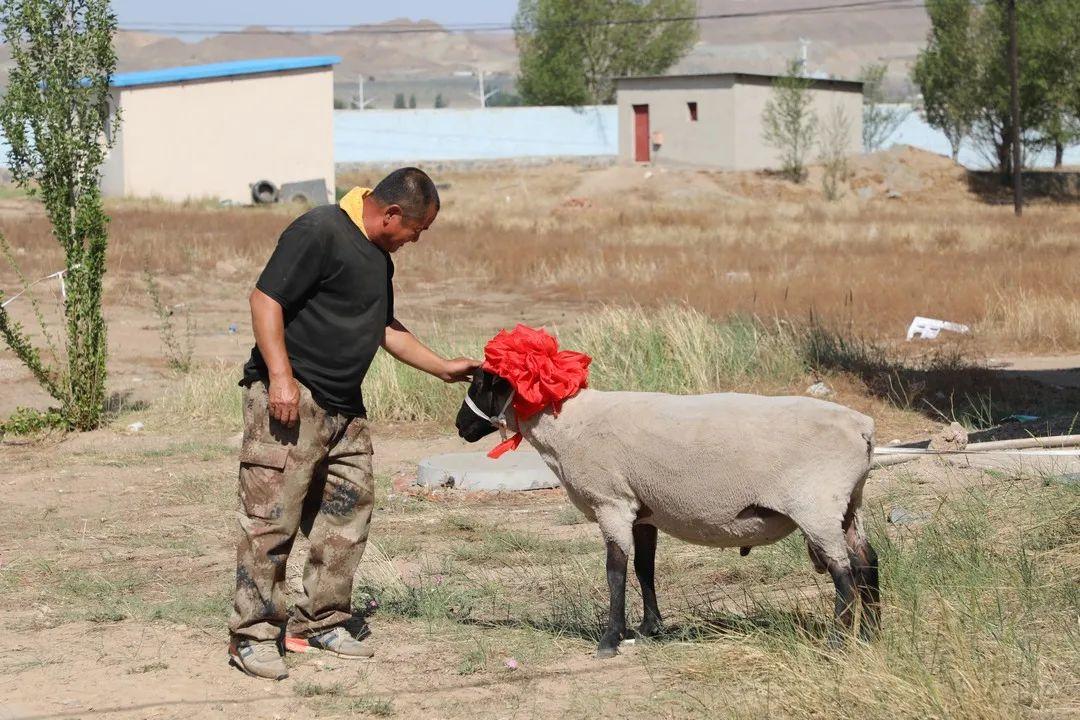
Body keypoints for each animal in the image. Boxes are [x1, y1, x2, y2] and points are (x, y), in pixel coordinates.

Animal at [455, 371, 876, 660]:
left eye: (480, 384)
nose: (460, 426)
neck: (565, 425)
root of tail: (863, 428)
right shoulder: (643, 511)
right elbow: (645, 568)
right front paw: (649, 627)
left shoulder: (612, 502)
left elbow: (615, 570)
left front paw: (610, 639)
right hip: (847, 502)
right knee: (867, 563)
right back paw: (871, 633)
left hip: (816, 503)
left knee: (844, 573)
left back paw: (837, 642)